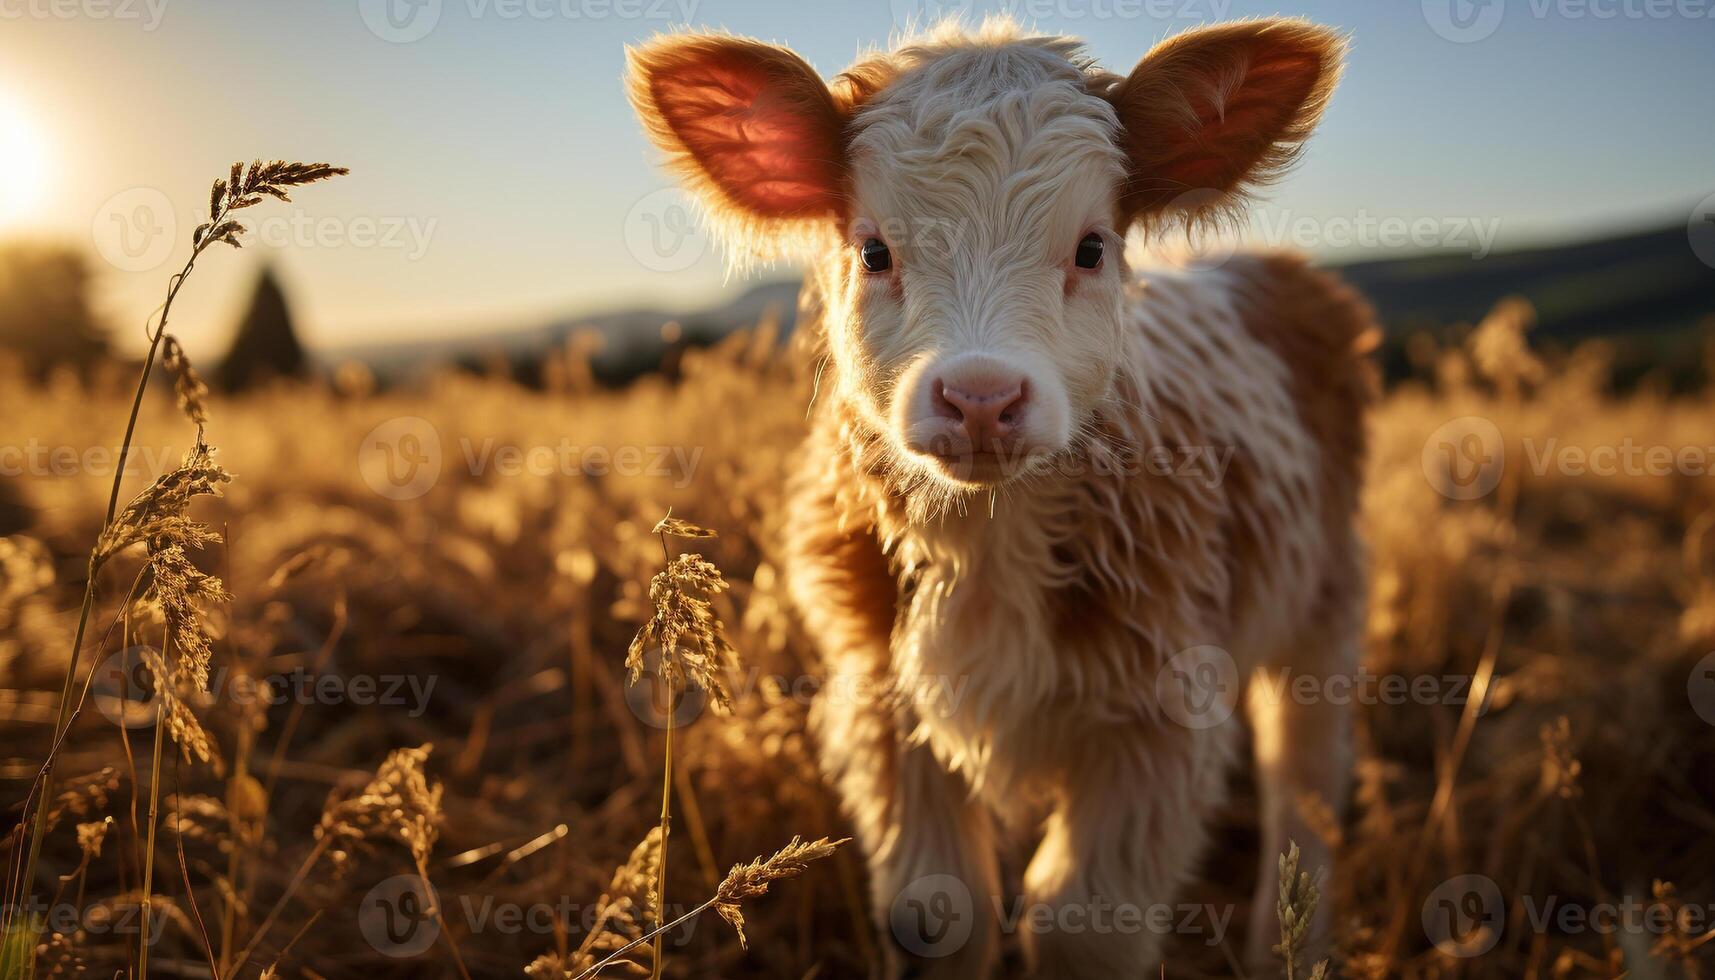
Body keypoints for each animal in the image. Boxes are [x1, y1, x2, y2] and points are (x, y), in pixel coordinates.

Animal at [631, 17, 1378, 980]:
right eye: (873, 250)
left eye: (1091, 247)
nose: (981, 397)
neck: (985, 547)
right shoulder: (882, 702)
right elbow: (941, 913)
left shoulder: (1160, 718)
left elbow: (1080, 923)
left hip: (1327, 596)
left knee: (1305, 778)